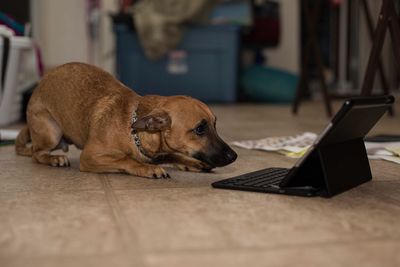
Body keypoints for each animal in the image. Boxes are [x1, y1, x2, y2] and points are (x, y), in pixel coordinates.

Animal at [16, 62, 238, 178]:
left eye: (215, 124)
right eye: (200, 129)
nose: (234, 156)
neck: (133, 131)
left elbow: (171, 155)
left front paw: (188, 162)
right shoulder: (90, 156)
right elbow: (126, 160)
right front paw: (148, 168)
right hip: (52, 133)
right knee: (36, 154)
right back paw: (53, 158)